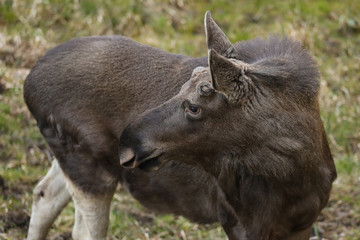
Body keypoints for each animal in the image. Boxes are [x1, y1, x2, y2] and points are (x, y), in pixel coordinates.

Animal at [23, 11, 336, 240]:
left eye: (194, 107)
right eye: (182, 86)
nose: (128, 143)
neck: (294, 177)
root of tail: (28, 85)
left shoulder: (302, 223)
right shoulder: (236, 219)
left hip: (74, 160)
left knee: (43, 193)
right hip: (90, 167)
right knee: (82, 229)